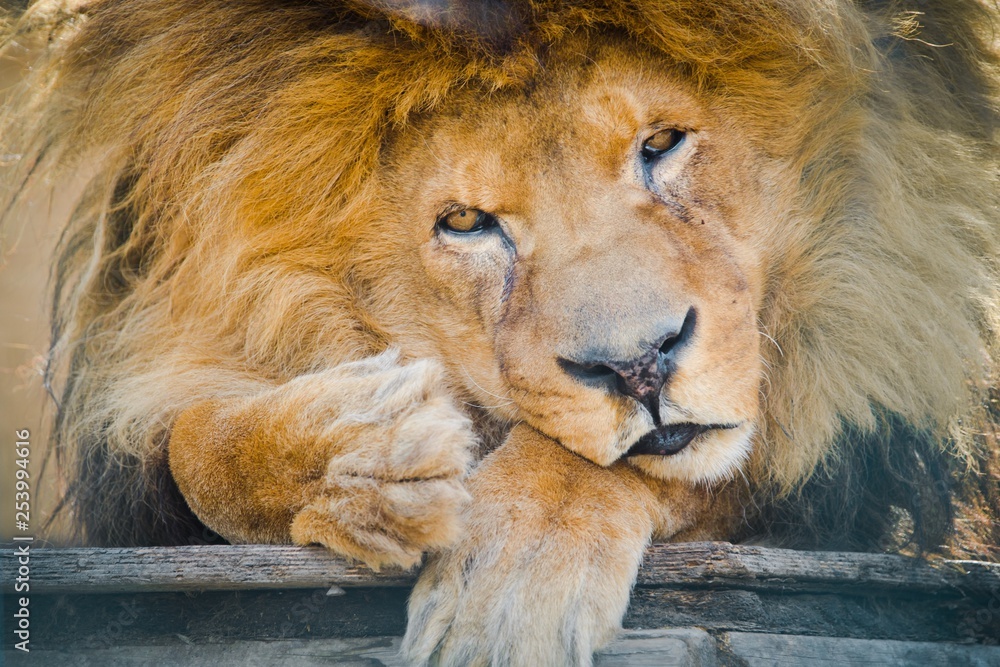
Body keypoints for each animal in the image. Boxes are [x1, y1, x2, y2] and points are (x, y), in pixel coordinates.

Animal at [3, 0, 999, 663]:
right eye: (467, 222)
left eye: (661, 143)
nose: (640, 367)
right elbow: (192, 444)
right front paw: (363, 455)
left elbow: (611, 465)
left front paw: (506, 583)